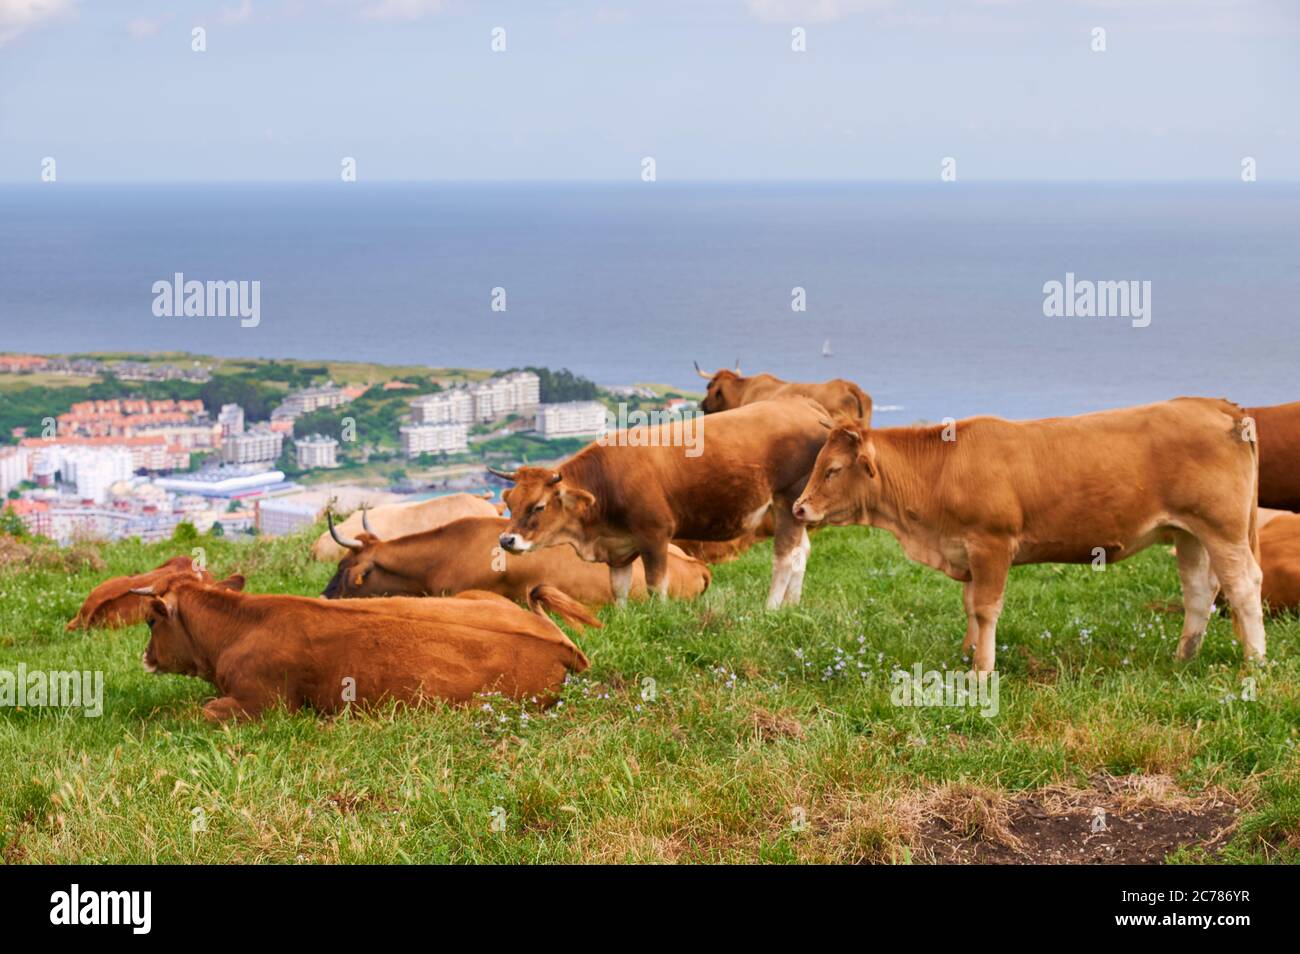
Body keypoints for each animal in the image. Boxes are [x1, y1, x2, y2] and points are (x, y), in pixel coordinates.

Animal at [133, 573, 596, 722]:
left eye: (151, 620)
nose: (145, 657)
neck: (241, 626)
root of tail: (556, 640)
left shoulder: (262, 703)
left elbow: (190, 712)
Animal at [493, 397, 829, 609]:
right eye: (510, 502)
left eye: (539, 506)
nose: (506, 540)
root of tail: (801, 403)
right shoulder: (618, 546)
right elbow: (618, 588)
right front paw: (623, 618)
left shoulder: (654, 534)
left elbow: (656, 585)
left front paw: (660, 616)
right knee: (802, 553)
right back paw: (791, 606)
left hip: (788, 501)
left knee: (785, 557)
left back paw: (770, 608)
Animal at [792, 398, 1266, 672]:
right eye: (819, 463)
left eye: (833, 469)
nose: (799, 508)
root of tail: (1216, 405)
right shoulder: (967, 552)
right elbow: (970, 605)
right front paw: (967, 653)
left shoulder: (992, 544)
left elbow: (986, 609)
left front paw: (982, 669)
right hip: (1188, 533)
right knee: (1199, 591)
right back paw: (1183, 658)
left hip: (1222, 529)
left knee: (1244, 586)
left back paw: (1255, 663)